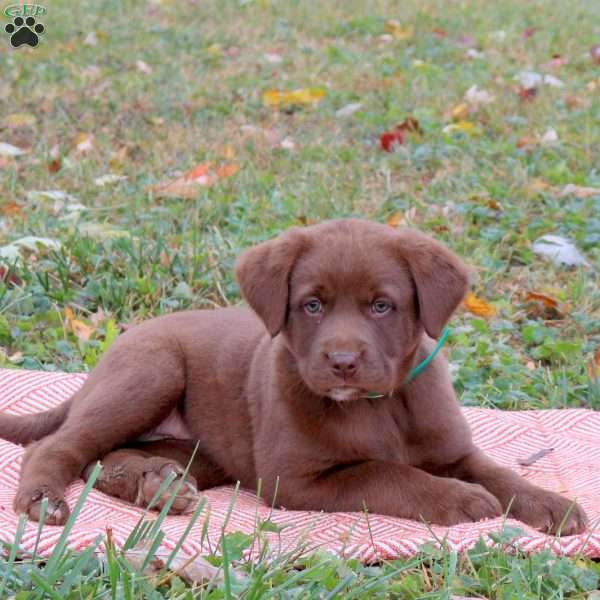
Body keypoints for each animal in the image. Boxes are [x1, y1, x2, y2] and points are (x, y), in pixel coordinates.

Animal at [0, 221, 588, 536]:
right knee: (60, 446)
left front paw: (552, 505)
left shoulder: (452, 448)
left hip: (200, 450)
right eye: (312, 304)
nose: (343, 361)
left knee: (105, 457)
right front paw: (460, 499)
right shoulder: (297, 478)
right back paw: (47, 499)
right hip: (150, 373)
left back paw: (157, 484)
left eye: (381, 306)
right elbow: (387, 472)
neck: (375, 404)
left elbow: (497, 472)